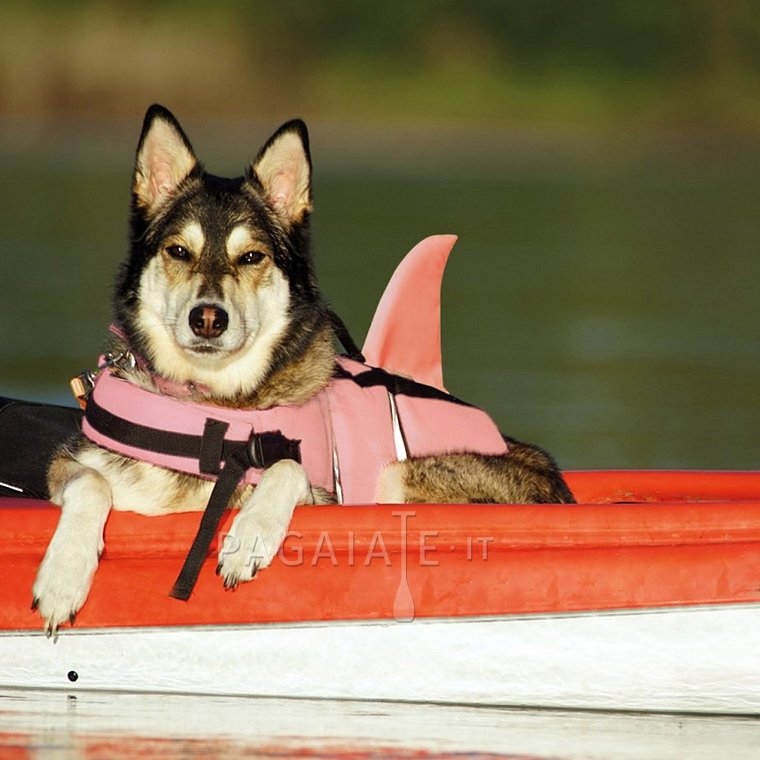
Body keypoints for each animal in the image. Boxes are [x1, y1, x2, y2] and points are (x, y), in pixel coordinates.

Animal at [31, 102, 576, 636]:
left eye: (251, 256)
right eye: (178, 251)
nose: (207, 318)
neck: (209, 409)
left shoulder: (323, 496)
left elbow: (287, 466)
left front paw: (249, 536)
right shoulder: (69, 466)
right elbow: (90, 482)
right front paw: (62, 577)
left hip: (400, 476)